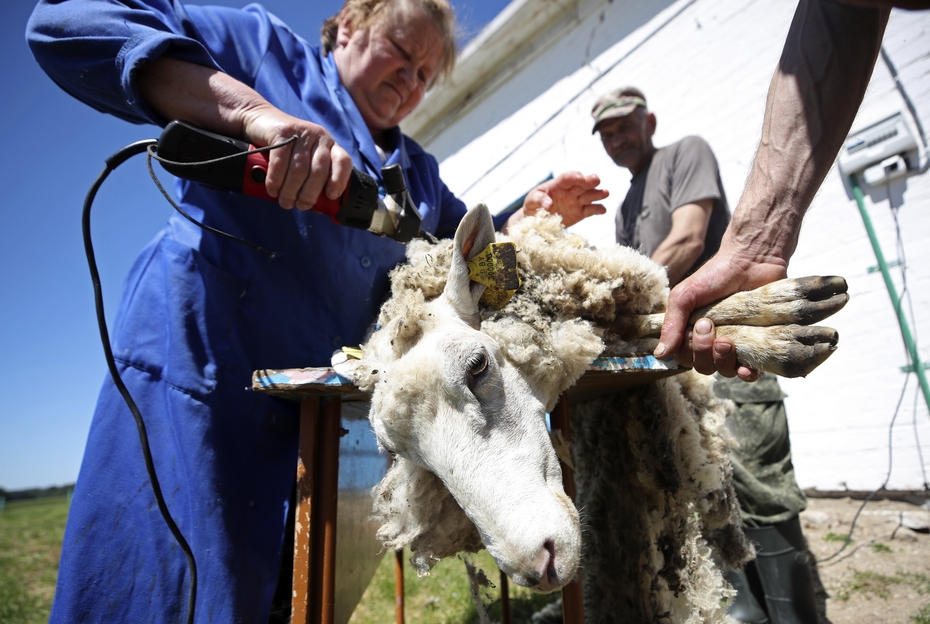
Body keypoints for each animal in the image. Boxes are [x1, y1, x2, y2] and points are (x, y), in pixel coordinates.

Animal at [338, 204, 844, 620]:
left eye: (477, 366)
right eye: (399, 451)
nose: (537, 566)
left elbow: (667, 317)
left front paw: (779, 318)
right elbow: (662, 330)